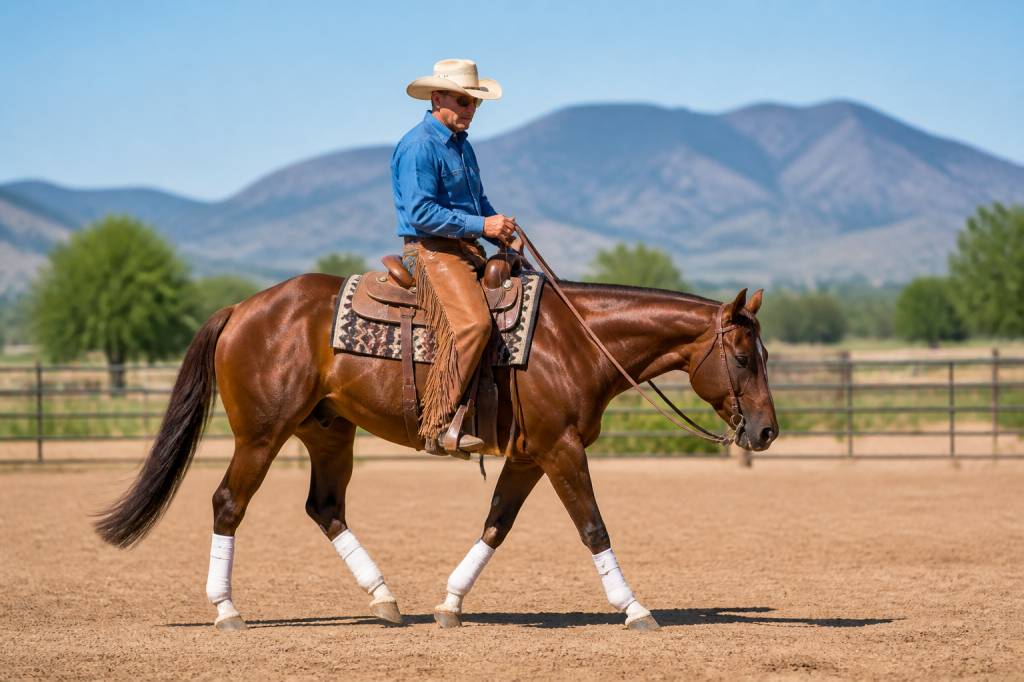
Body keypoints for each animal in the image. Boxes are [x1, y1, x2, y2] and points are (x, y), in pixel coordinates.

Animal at [94, 271, 778, 631]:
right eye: (745, 357)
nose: (767, 432)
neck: (576, 342)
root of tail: (243, 308)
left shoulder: (529, 455)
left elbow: (496, 524)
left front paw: (450, 604)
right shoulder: (561, 450)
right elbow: (593, 528)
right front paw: (634, 608)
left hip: (329, 433)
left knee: (325, 508)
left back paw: (384, 599)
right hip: (261, 436)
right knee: (228, 503)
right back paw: (227, 610)